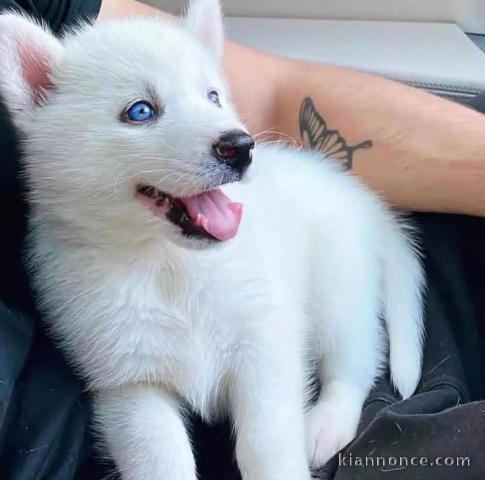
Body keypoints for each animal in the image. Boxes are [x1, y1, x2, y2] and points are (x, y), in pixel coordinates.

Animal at [0, 1, 424, 478]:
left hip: (338, 289)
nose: (240, 145)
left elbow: (266, 443)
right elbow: (161, 458)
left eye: (213, 96)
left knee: (357, 360)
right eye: (140, 111)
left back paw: (326, 424)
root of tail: (359, 198)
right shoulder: (131, 383)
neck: (168, 265)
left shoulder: (265, 343)